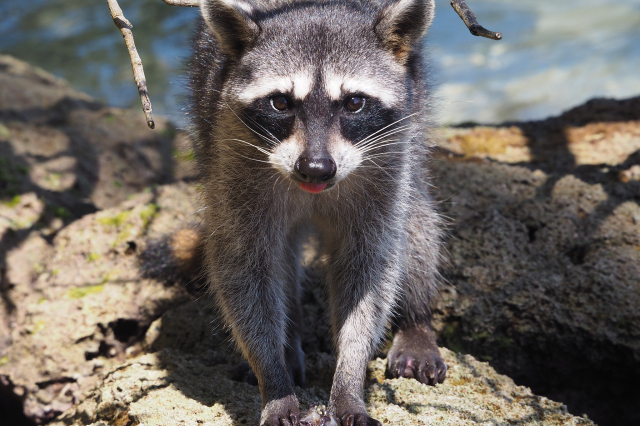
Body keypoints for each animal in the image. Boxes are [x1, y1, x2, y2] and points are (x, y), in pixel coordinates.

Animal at [190, 1, 444, 424]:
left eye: (354, 103)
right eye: (280, 102)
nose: (315, 168)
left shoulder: (387, 160)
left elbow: (369, 266)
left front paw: (349, 379)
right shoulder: (232, 153)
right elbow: (244, 268)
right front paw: (273, 378)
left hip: (415, 114)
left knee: (417, 217)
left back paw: (416, 320)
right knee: (279, 255)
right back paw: (288, 342)